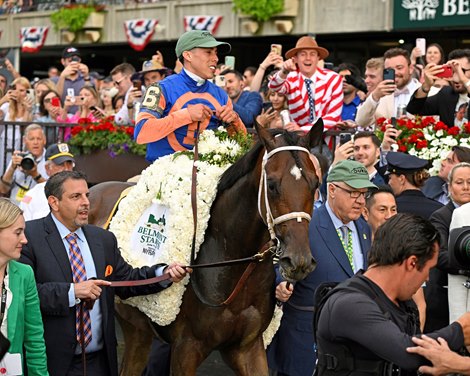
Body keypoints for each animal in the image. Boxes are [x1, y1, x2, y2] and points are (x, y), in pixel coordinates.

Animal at [87, 122, 324, 374]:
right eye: (271, 184)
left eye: (315, 184)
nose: (299, 260)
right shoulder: (186, 349)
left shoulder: (247, 348)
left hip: (136, 329)